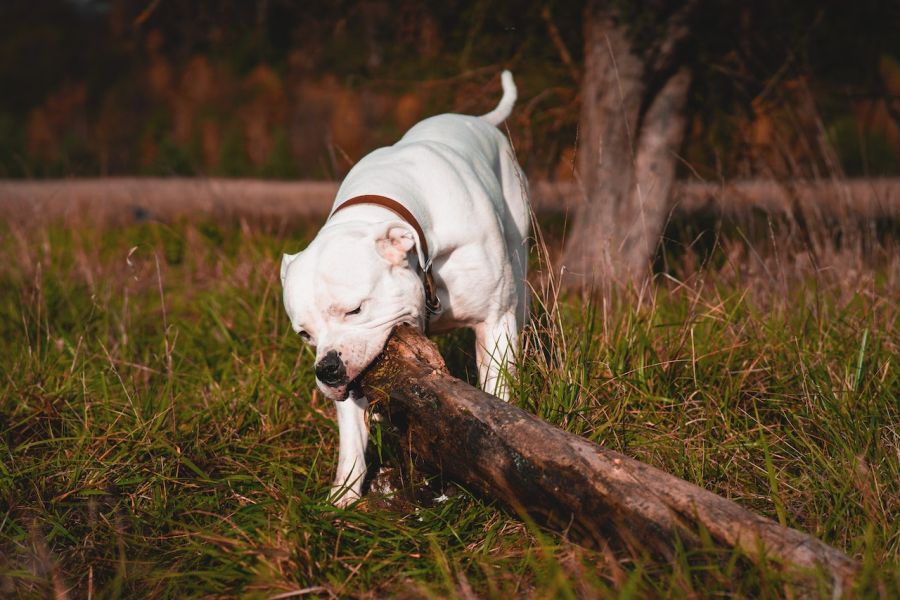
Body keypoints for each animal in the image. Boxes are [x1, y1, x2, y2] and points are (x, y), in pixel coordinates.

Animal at [282, 71, 528, 506]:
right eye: (305, 335)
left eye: (355, 309)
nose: (327, 369)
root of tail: (478, 119)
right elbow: (351, 436)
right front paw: (343, 496)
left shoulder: (495, 321)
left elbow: (498, 393)